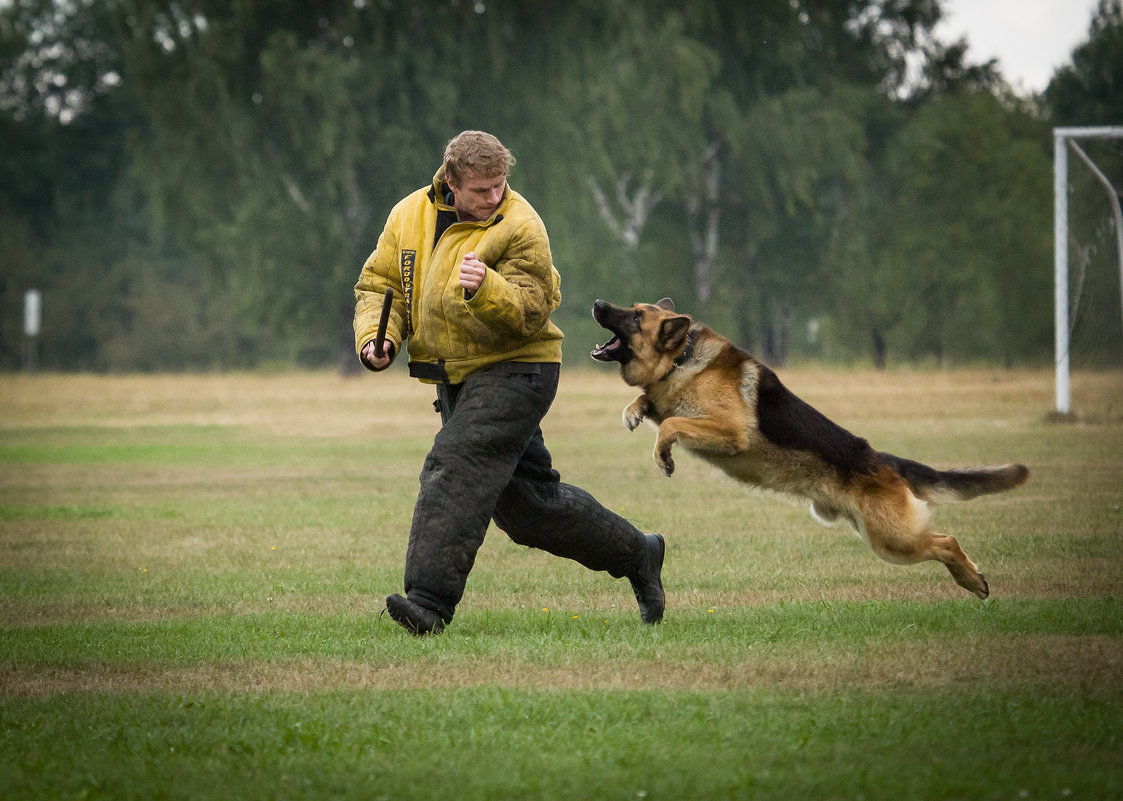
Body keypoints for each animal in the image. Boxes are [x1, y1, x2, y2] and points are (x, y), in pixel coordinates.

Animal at [592, 296, 1028, 597]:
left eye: (635, 317)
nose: (597, 303)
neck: (681, 359)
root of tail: (883, 462)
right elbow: (654, 405)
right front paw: (635, 410)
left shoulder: (731, 433)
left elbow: (672, 423)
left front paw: (662, 453)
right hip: (882, 539)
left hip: (895, 539)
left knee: (946, 541)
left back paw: (973, 580)